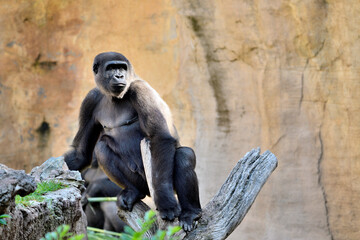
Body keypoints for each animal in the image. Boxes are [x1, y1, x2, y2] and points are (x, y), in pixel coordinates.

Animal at [63, 52, 201, 231]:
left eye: (122, 68)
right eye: (111, 68)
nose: (119, 76)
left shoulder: (140, 89)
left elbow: (160, 137)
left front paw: (166, 203)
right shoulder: (90, 100)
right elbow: (81, 153)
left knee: (184, 155)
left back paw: (190, 213)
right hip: (143, 185)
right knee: (101, 147)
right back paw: (134, 191)